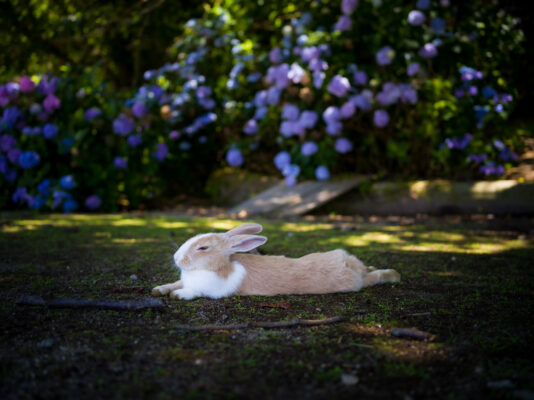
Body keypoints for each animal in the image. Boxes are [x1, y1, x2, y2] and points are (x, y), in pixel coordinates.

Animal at [153, 222, 400, 300]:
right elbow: (173, 283)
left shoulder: (213, 289)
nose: (177, 258)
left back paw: (393, 275)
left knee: (372, 278)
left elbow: (194, 291)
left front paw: (179, 295)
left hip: (354, 282)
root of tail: (348, 263)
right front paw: (159, 290)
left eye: (203, 248)